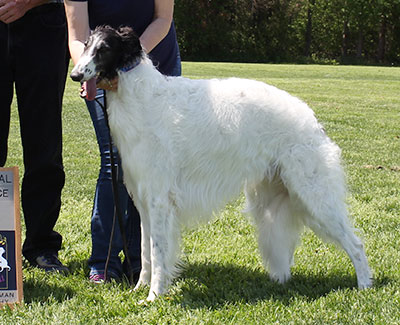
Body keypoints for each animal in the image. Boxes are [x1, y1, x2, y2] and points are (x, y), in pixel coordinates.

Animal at [71, 25, 372, 302]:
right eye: (85, 45)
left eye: (104, 49)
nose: (75, 75)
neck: (139, 95)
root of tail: (311, 119)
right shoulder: (143, 201)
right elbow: (147, 252)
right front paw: (140, 288)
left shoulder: (159, 199)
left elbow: (158, 253)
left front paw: (154, 296)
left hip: (314, 195)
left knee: (356, 244)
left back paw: (365, 286)